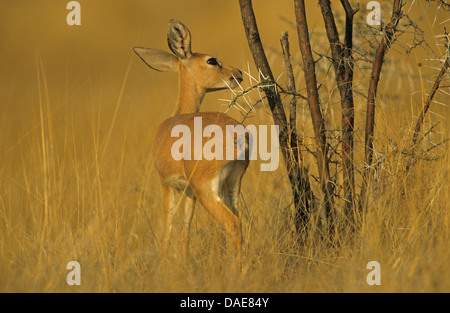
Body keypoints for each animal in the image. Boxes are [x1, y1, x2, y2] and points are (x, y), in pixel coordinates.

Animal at [132, 19, 248, 270]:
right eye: (212, 60)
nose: (238, 74)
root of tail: (237, 134)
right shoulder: (190, 193)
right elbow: (185, 231)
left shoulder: (168, 186)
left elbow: (167, 229)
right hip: (231, 186)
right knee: (239, 220)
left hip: (208, 190)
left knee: (232, 223)